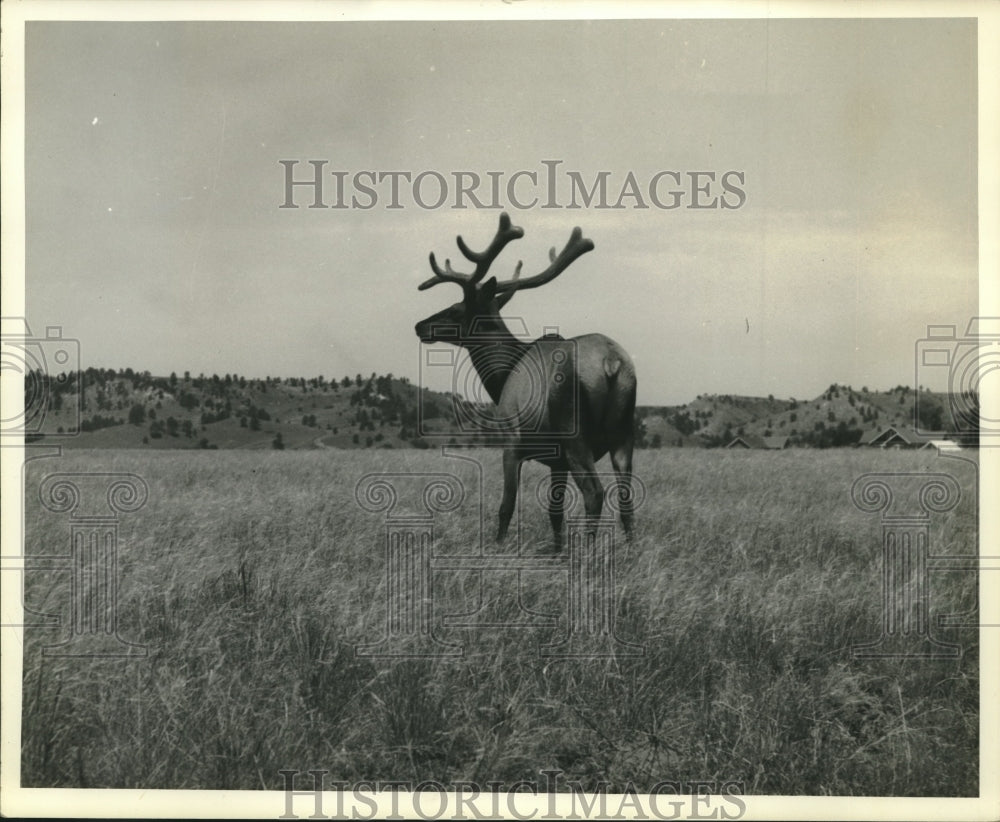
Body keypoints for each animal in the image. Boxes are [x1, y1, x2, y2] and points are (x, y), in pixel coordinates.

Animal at [412, 212, 632, 552]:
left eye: (456, 310)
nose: (420, 326)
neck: (500, 377)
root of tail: (613, 363)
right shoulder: (557, 461)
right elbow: (555, 512)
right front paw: (556, 552)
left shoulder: (512, 442)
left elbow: (506, 506)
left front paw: (498, 548)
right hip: (624, 434)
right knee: (628, 500)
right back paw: (633, 550)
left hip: (575, 433)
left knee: (595, 493)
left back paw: (588, 554)